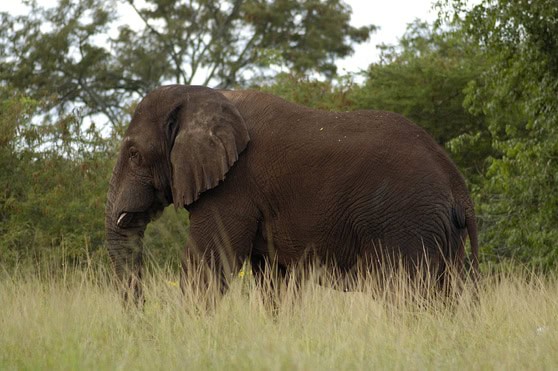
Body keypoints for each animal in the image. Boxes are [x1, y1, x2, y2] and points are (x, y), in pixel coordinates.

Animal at [106, 85, 482, 306]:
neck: (203, 98)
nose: (143, 313)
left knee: (406, 296)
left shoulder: (233, 186)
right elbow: (275, 279)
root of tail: (458, 187)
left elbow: (209, 268)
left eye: (135, 155)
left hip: (406, 223)